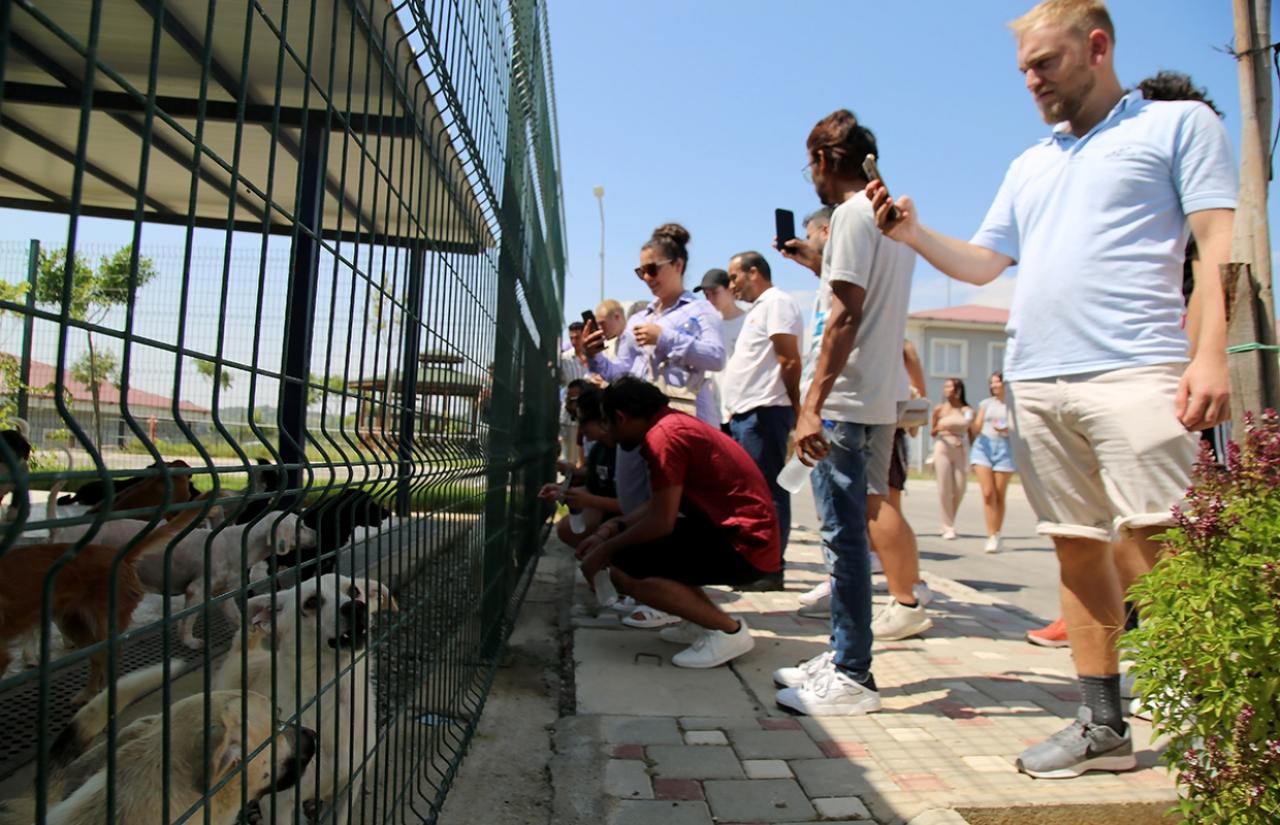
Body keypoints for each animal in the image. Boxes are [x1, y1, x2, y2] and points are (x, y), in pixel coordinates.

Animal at [56, 509, 320, 649]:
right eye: (301, 526)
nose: (317, 533)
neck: (240, 542)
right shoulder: (196, 590)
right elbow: (188, 619)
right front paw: (190, 642)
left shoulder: (222, 593)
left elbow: (237, 616)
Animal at [215, 573, 394, 823]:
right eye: (311, 602)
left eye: (355, 591)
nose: (356, 607)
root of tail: (244, 651)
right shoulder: (277, 804)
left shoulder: (348, 789)